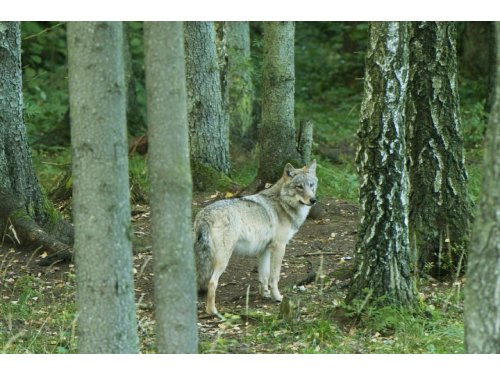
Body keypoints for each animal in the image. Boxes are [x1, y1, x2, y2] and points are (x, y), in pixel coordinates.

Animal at [193, 160, 318, 316]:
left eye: (311, 185)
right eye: (299, 187)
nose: (313, 200)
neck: (282, 203)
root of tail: (205, 214)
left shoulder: (264, 250)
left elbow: (263, 276)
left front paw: (265, 294)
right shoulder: (279, 247)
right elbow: (274, 277)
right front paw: (278, 297)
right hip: (223, 259)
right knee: (212, 282)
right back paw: (212, 311)